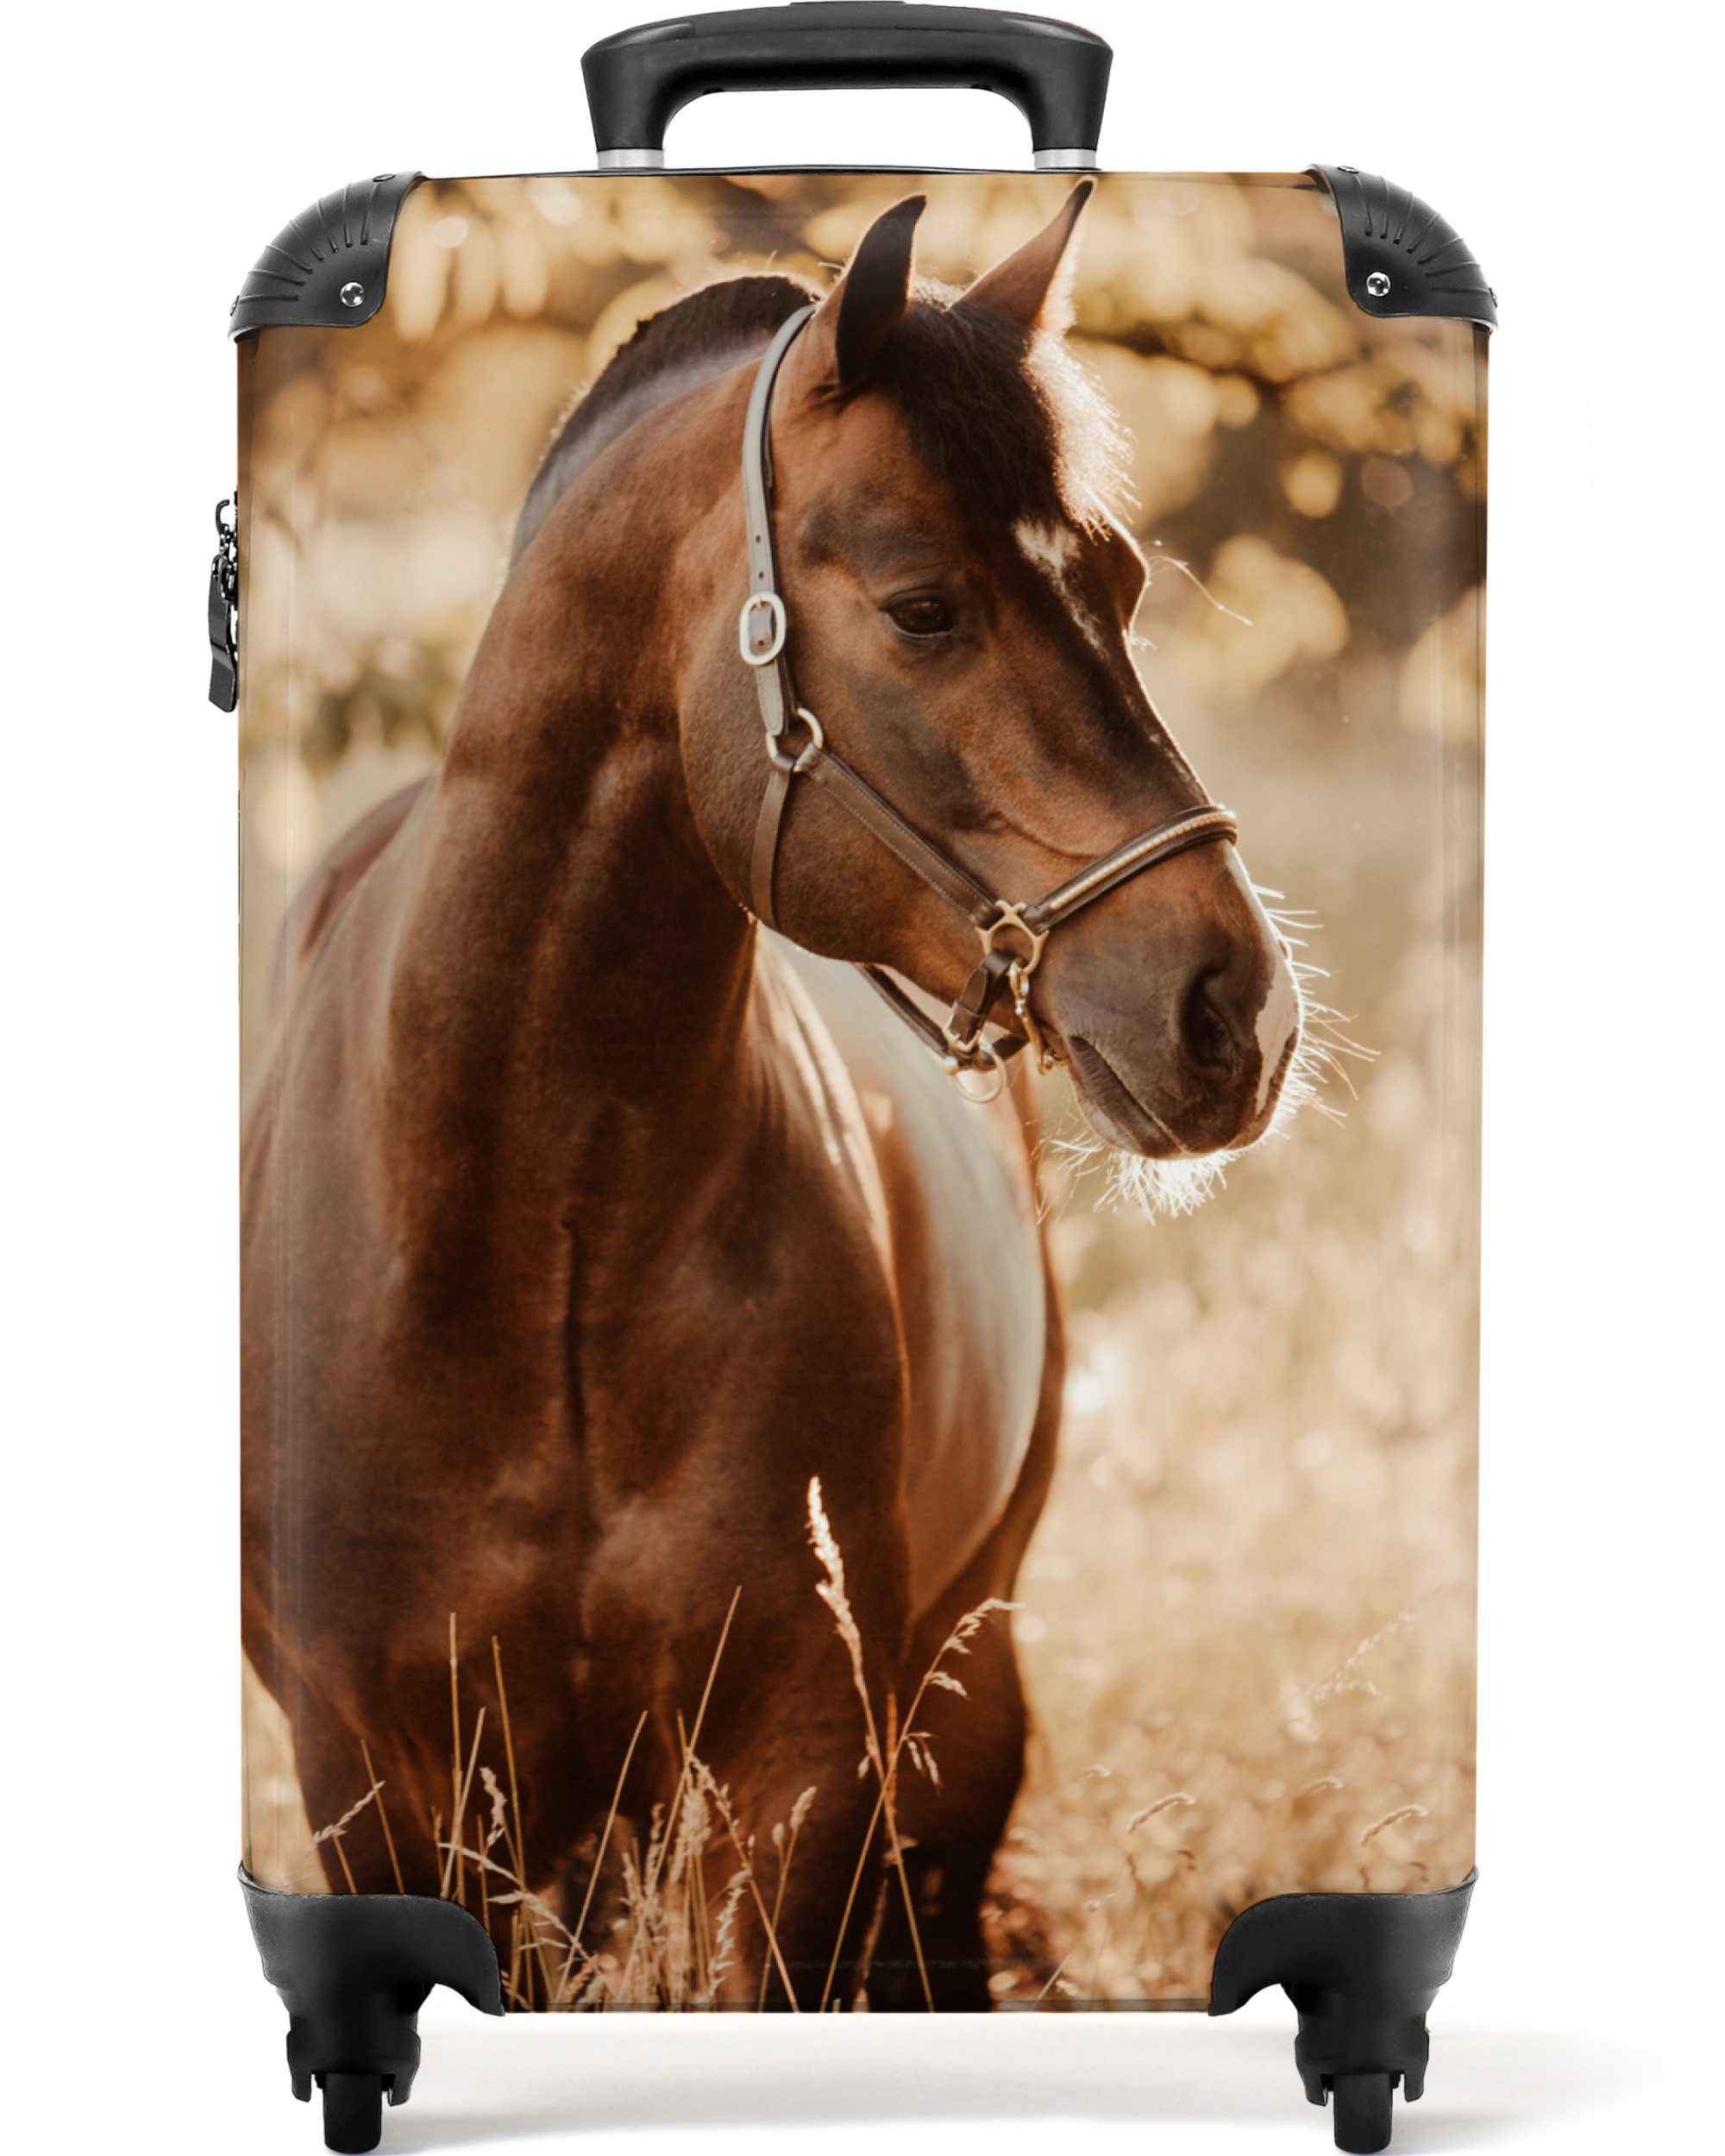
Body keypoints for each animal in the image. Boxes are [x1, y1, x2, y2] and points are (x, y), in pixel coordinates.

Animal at [240, 182, 1301, 2010]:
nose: (1235, 1007)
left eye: (1119, 579)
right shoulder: (376, 1780)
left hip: (954, 1720)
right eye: (924, 606)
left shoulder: (798, 1772)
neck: (532, 1229)